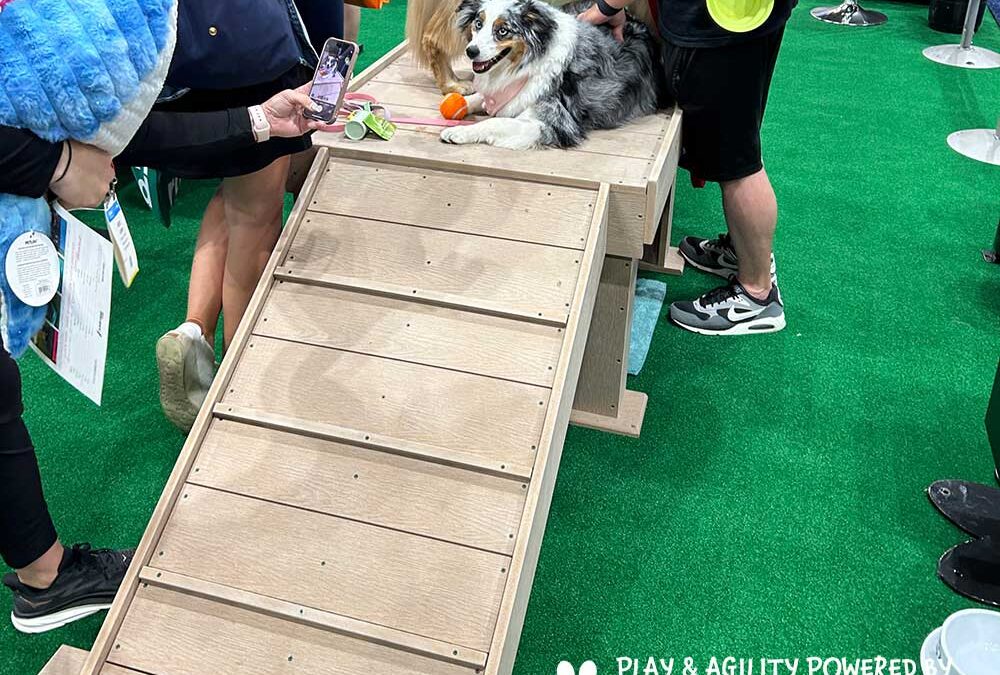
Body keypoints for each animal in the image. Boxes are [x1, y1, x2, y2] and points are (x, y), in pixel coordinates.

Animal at [438, 0, 663, 150]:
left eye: (502, 31)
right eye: (478, 24)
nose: (471, 51)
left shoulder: (555, 123)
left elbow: (496, 122)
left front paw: (458, 132)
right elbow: (476, 98)